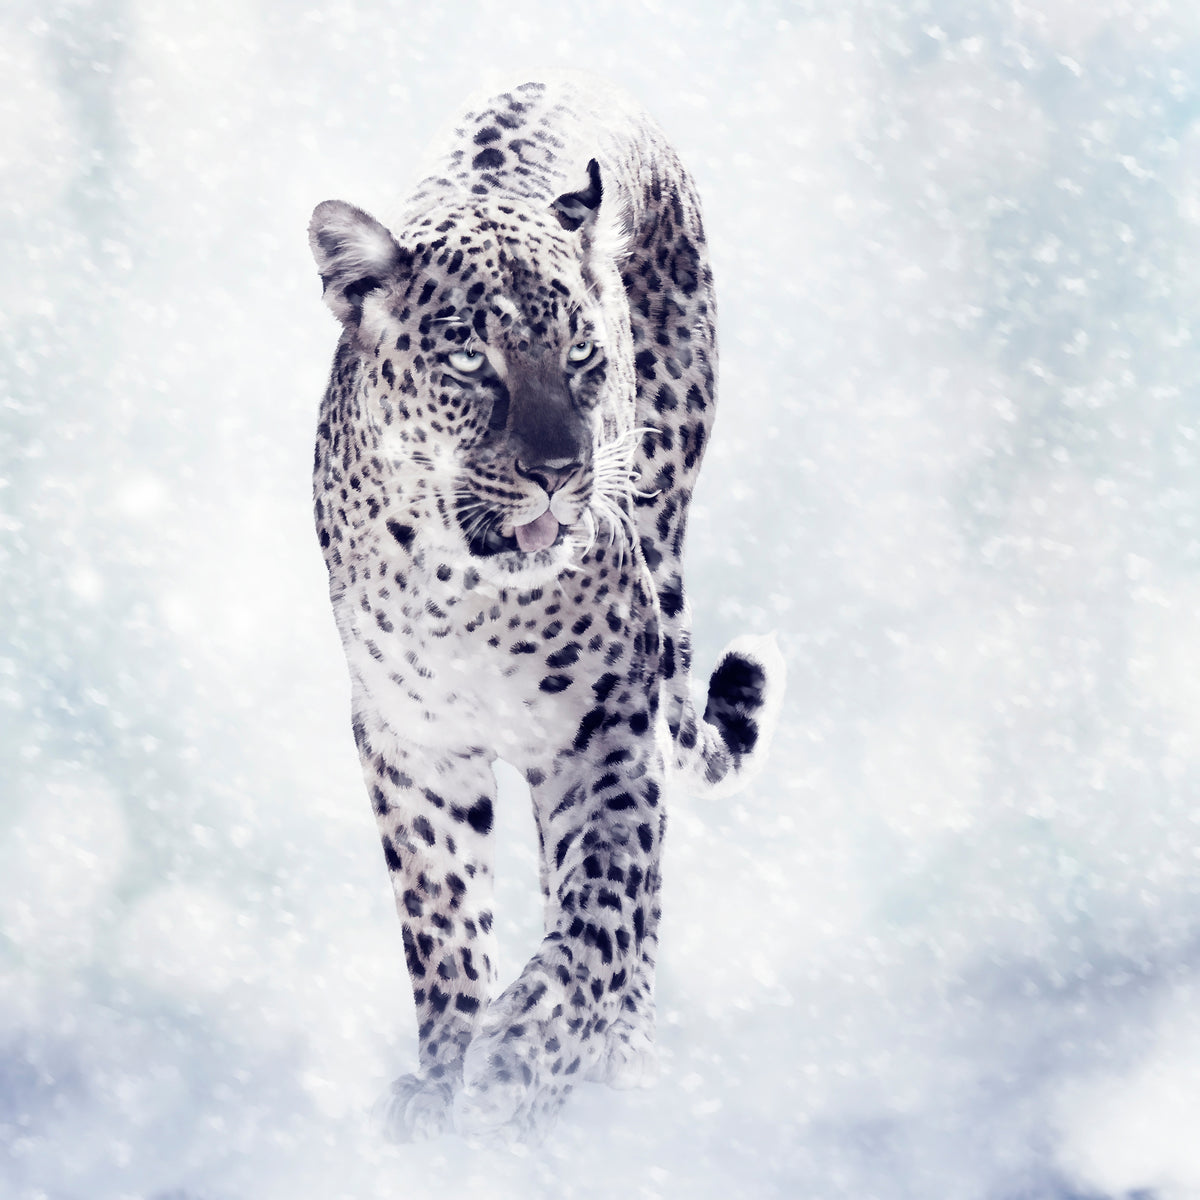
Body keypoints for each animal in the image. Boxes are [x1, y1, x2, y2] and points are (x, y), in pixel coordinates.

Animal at [307, 73, 784, 1142]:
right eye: (469, 360)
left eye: (581, 353)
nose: (561, 471)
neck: (470, 596)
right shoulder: (410, 745)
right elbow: (441, 920)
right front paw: (445, 1072)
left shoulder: (606, 732)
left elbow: (603, 906)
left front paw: (534, 1047)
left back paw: (615, 1046)